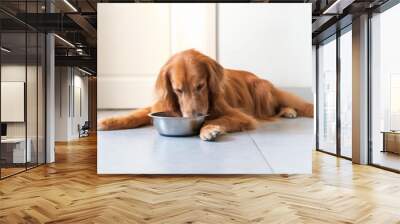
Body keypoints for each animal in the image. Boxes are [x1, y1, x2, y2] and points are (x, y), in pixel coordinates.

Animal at [98, 49, 314, 141]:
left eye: (200, 86)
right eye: (178, 90)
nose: (192, 117)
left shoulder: (240, 116)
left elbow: (218, 119)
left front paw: (209, 129)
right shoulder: (161, 105)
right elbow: (135, 114)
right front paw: (109, 121)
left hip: (262, 90)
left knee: (275, 106)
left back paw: (288, 110)